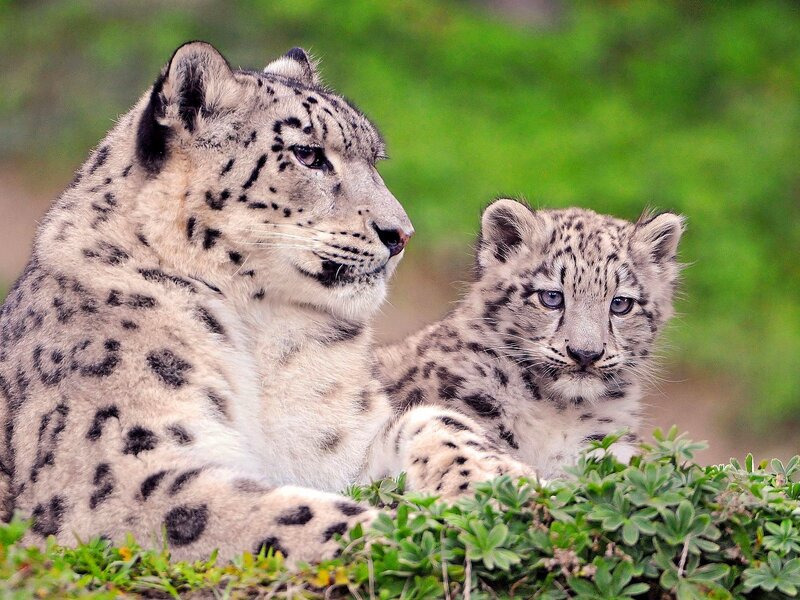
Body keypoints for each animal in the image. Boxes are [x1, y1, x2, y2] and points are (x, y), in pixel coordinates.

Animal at [0, 43, 531, 564]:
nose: (400, 234)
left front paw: (506, 484)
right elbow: (283, 515)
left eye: (375, 160)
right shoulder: (119, 470)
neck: (265, 334)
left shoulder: (337, 444)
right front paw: (430, 536)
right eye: (307, 154)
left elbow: (434, 420)